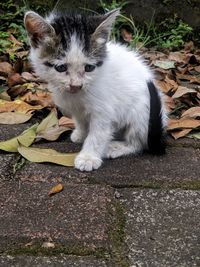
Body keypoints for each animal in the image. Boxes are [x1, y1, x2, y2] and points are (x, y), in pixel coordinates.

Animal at [24, 9, 166, 173]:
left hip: (142, 114)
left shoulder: (104, 110)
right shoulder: (76, 108)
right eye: (61, 68)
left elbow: (98, 134)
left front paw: (88, 157)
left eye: (89, 68)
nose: (76, 85)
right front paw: (81, 134)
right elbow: (81, 120)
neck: (77, 95)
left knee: (138, 143)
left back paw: (117, 147)